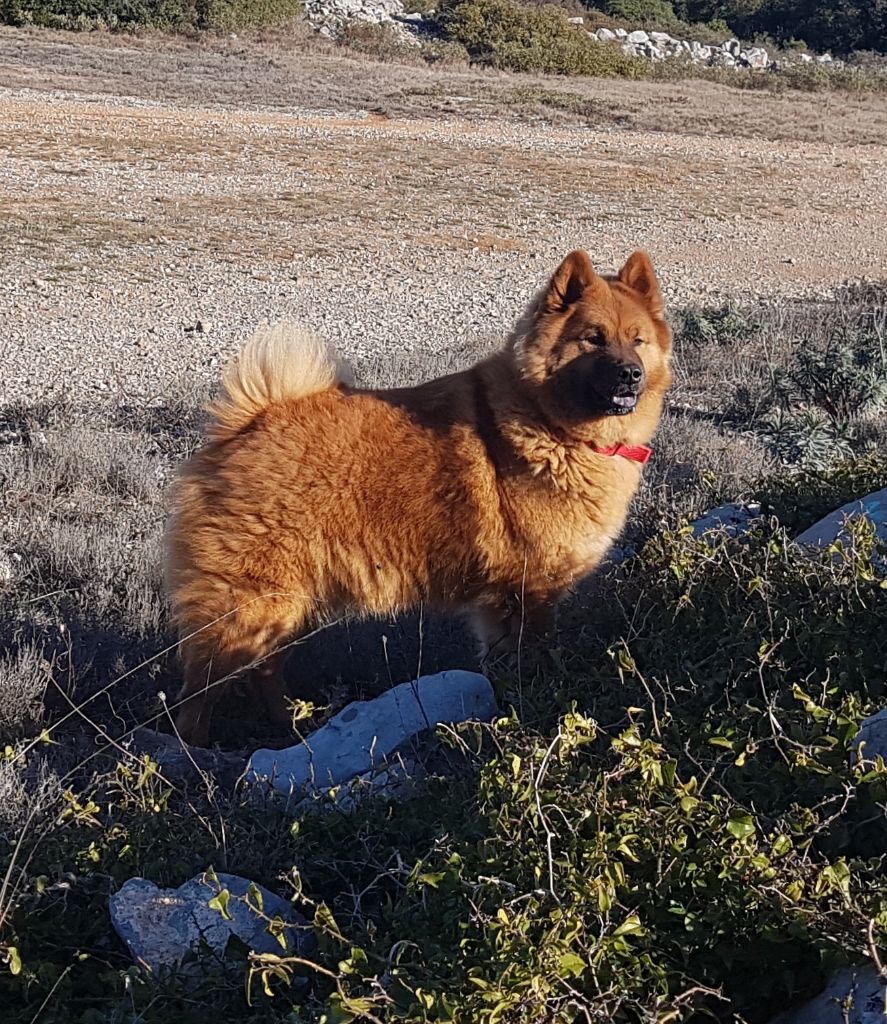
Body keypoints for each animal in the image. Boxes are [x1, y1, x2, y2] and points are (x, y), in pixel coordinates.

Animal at [163, 247, 671, 745]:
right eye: (594, 338)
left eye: (637, 340)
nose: (631, 374)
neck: (553, 426)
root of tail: (247, 425)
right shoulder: (531, 592)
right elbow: (534, 656)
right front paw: (535, 700)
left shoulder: (504, 601)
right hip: (250, 604)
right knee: (199, 693)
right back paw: (196, 751)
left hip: (287, 607)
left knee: (263, 671)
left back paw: (289, 727)